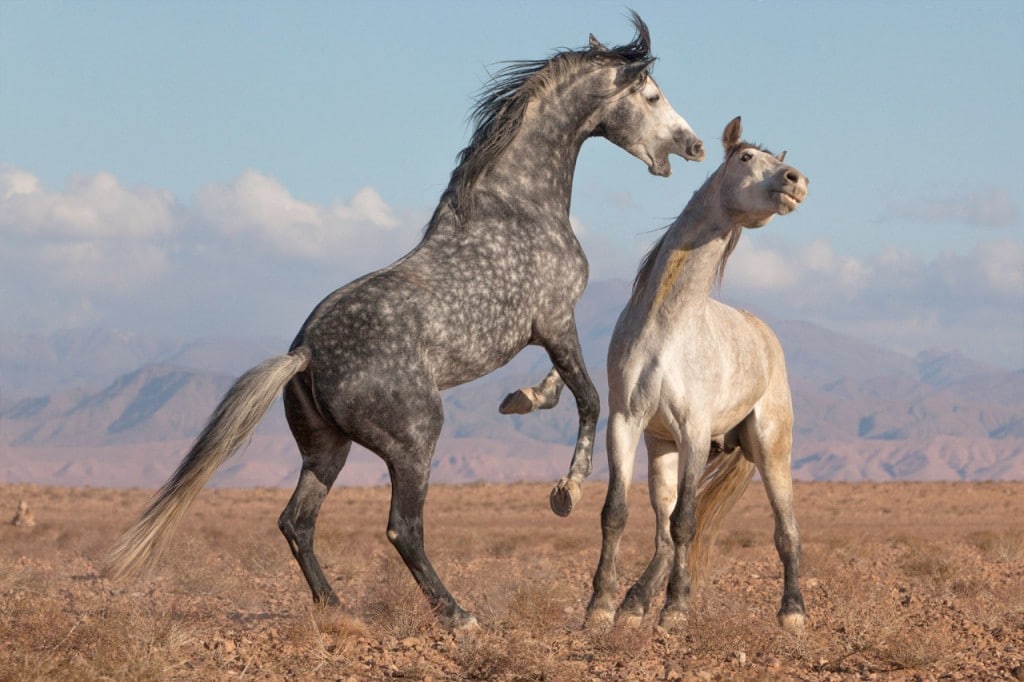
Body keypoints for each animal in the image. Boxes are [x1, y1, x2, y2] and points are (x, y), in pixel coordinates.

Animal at [108, 11, 708, 626]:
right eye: (653, 96)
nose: (695, 145)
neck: (516, 205)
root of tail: (305, 353)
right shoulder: (554, 319)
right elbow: (587, 399)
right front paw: (566, 492)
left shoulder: (549, 328)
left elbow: (564, 387)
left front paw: (522, 400)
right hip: (415, 440)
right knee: (402, 528)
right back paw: (457, 614)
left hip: (326, 448)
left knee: (297, 522)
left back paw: (339, 610)